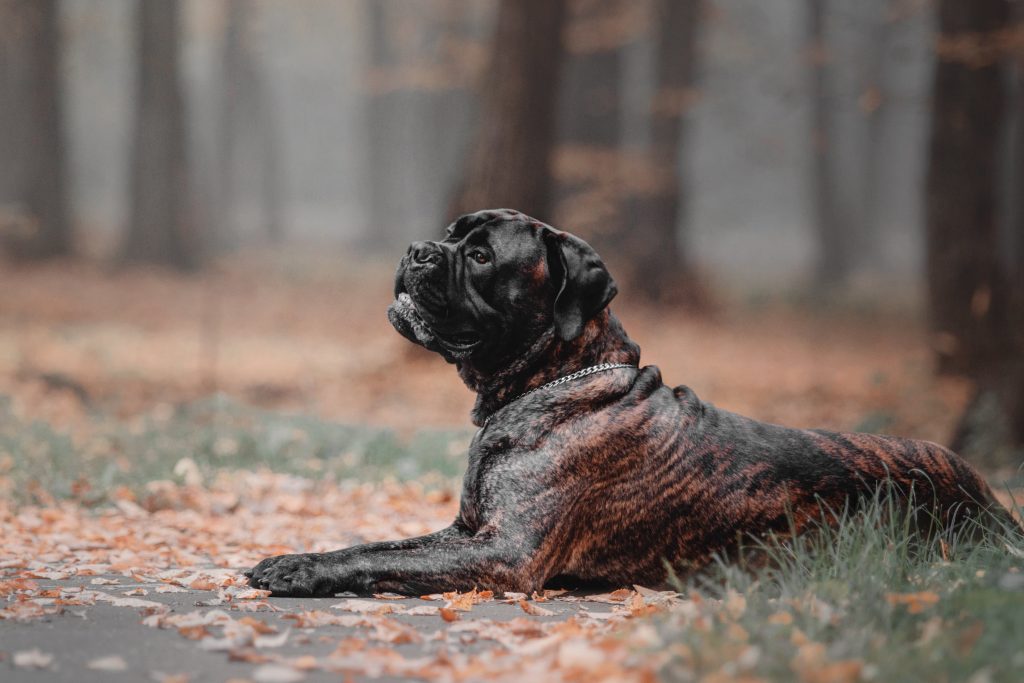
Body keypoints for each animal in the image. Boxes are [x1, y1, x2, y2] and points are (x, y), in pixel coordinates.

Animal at [245, 208, 1015, 598]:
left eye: (482, 255)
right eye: (452, 233)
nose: (417, 249)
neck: (554, 380)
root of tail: (991, 498)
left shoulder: (504, 553)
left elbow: (377, 560)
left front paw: (299, 570)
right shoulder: (465, 532)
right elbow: (378, 545)